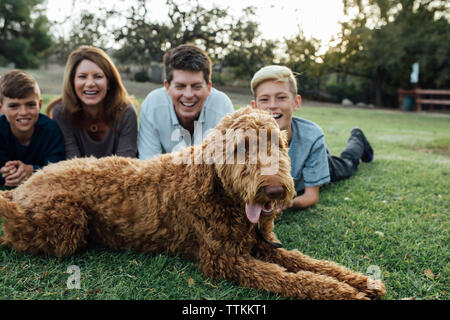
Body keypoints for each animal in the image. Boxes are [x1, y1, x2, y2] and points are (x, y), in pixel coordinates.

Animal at [0, 107, 386, 300]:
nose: (275, 190)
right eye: (240, 147)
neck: (217, 191)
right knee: (17, 231)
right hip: (68, 221)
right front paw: (343, 292)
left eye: (276, 143)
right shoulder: (225, 260)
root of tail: (28, 184)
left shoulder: (261, 244)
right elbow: (287, 277)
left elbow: (307, 262)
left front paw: (360, 281)